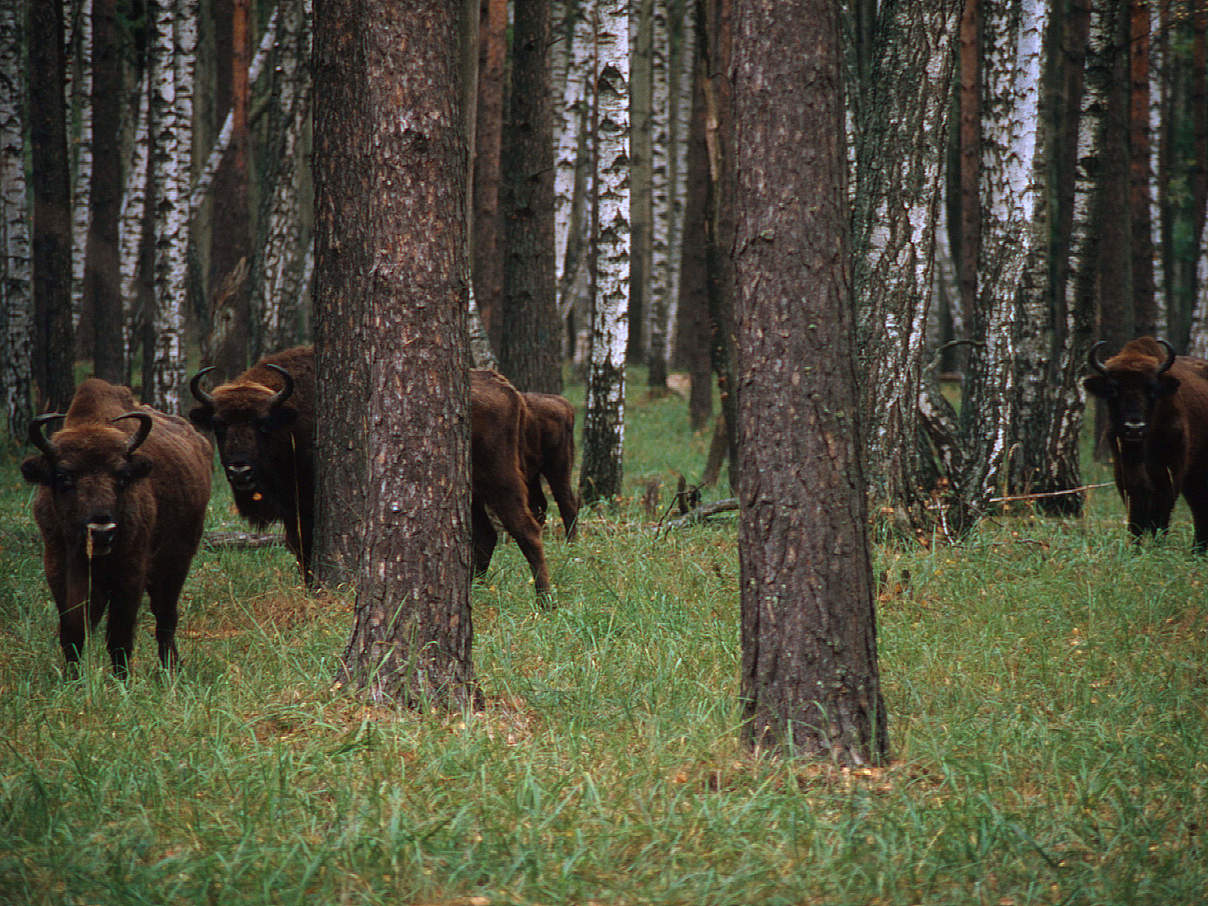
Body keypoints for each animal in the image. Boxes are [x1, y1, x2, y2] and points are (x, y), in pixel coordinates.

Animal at [20, 376, 212, 676]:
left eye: (123, 477)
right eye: (63, 477)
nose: (101, 532)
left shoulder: (131, 574)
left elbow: (119, 636)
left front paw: (122, 679)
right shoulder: (59, 569)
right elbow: (72, 633)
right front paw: (72, 678)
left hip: (176, 561)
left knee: (165, 617)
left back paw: (171, 669)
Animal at [521, 391, 577, 538]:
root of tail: (564, 404)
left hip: (557, 466)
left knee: (566, 501)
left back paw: (570, 540)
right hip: (533, 473)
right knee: (539, 504)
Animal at [1082, 338, 1208, 553]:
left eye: (1152, 389)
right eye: (1114, 389)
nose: (1134, 428)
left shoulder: (1172, 471)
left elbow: (1161, 513)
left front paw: (1158, 546)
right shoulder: (1124, 470)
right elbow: (1136, 511)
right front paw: (1135, 548)